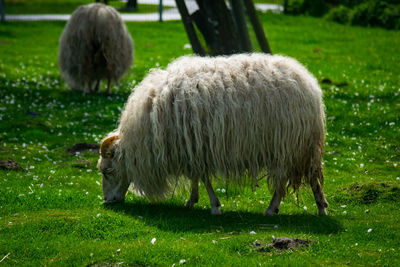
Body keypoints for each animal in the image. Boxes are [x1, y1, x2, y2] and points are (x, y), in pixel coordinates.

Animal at [97, 53, 328, 217]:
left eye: (107, 171)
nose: (108, 201)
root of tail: (311, 86)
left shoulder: (198, 148)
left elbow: (203, 178)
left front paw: (214, 206)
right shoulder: (193, 147)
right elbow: (195, 177)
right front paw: (191, 201)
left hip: (288, 146)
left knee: (283, 181)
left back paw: (273, 209)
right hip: (302, 146)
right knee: (312, 177)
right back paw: (321, 207)